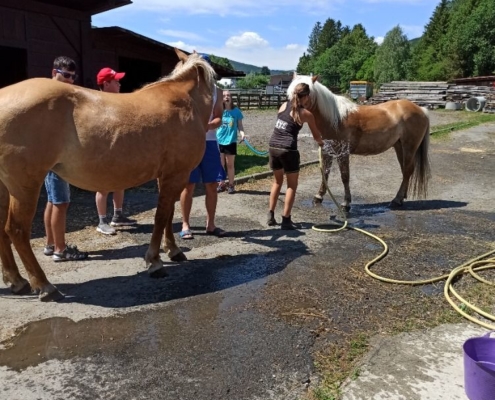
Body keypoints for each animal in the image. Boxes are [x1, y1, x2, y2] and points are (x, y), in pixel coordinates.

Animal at [0, 48, 217, 302]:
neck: (185, 102)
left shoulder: (167, 176)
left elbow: (168, 214)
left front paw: (172, 251)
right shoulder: (177, 175)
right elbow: (161, 217)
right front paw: (155, 261)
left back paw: (17, 281)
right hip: (25, 185)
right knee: (16, 230)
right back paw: (45, 285)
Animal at [288, 75, 432, 212]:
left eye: (302, 92)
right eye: (290, 93)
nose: (290, 115)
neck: (335, 119)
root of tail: (421, 110)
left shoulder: (343, 153)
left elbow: (345, 176)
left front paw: (346, 203)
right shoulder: (327, 151)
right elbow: (325, 173)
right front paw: (318, 197)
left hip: (409, 147)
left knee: (407, 170)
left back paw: (397, 200)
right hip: (399, 146)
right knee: (405, 170)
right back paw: (402, 197)